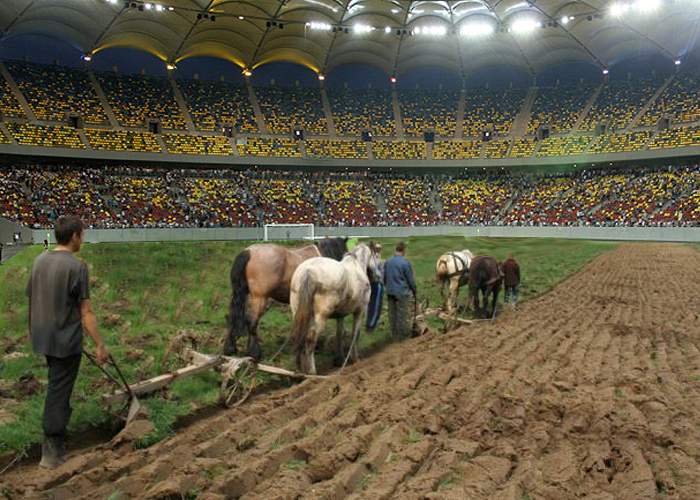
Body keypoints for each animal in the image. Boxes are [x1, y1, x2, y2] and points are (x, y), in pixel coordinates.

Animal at [288, 242, 380, 376]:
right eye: (377, 256)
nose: (378, 276)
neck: (356, 266)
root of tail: (308, 271)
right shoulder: (360, 311)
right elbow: (355, 334)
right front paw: (355, 359)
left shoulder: (340, 315)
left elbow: (339, 335)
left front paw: (339, 360)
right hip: (321, 316)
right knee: (310, 338)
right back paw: (312, 372)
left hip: (299, 314)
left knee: (299, 336)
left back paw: (300, 371)